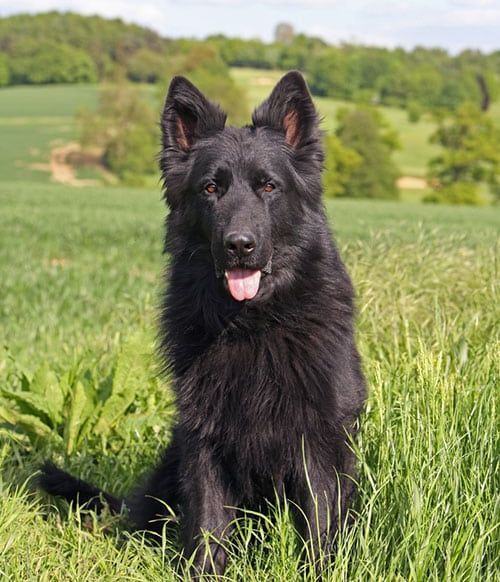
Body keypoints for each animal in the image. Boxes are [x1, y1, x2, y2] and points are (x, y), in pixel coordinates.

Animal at [39, 70, 366, 576]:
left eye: (268, 187)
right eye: (211, 189)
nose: (239, 245)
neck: (252, 324)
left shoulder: (318, 438)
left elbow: (320, 523)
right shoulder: (203, 436)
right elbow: (209, 522)